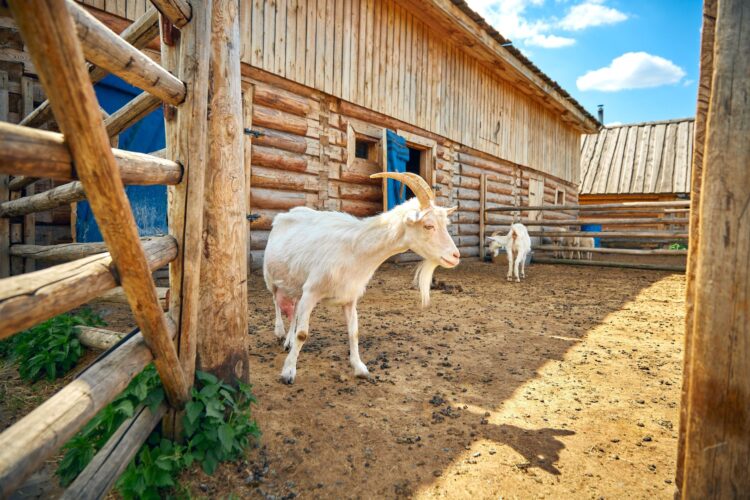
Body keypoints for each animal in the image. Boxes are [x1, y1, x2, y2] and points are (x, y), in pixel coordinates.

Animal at [264, 172, 460, 384]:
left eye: (445, 225)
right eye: (428, 225)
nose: (455, 256)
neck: (354, 250)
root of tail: (283, 215)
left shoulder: (350, 297)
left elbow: (354, 332)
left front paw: (360, 368)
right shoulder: (311, 292)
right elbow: (302, 334)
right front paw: (288, 372)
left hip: (296, 283)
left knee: (293, 311)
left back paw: (288, 342)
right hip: (271, 277)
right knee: (276, 301)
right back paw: (280, 332)